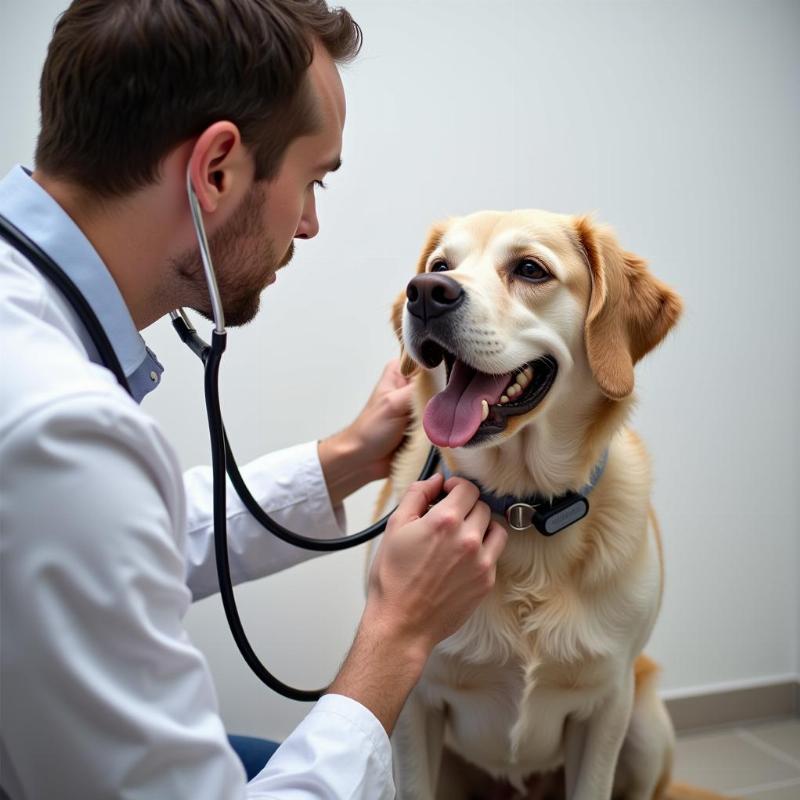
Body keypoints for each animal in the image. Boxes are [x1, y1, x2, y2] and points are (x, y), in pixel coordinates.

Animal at [372, 211, 728, 800]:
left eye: (530, 269)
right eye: (440, 265)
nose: (423, 294)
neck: (523, 509)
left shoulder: (606, 706)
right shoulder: (413, 702)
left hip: (646, 723)